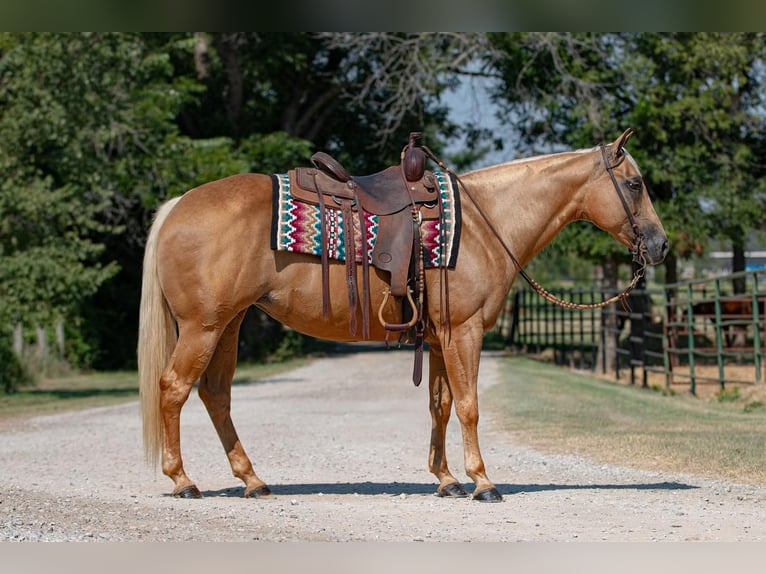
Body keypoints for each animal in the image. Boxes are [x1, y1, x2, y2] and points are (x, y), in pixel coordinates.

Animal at [141, 129, 668, 504]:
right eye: (635, 184)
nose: (661, 245)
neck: (485, 223)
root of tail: (177, 206)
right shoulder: (463, 333)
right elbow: (469, 405)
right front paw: (482, 482)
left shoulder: (437, 340)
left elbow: (440, 406)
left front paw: (447, 479)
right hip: (203, 328)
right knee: (174, 389)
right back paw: (183, 481)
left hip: (227, 325)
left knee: (216, 395)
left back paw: (252, 480)